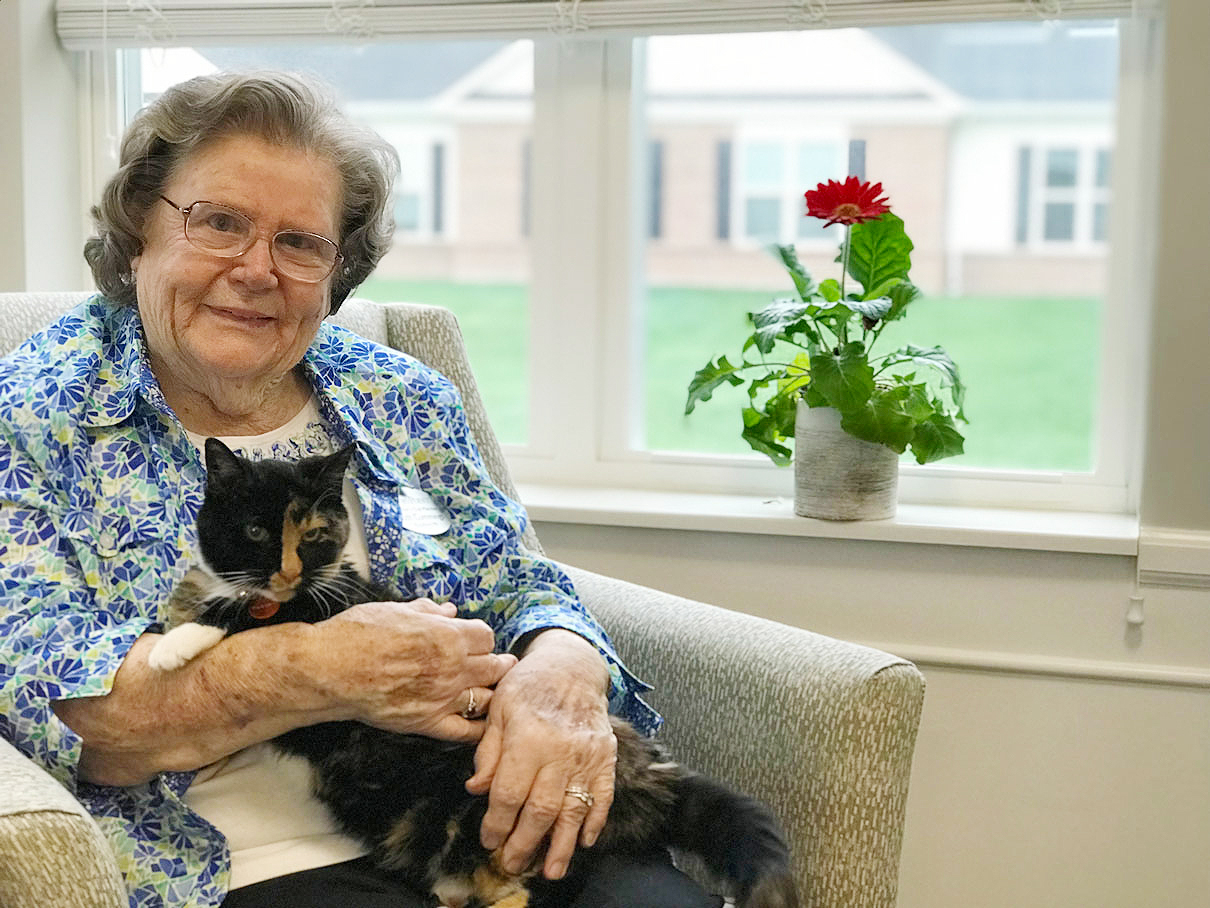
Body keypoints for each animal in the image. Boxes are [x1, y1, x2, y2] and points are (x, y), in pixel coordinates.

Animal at [146, 440, 798, 908]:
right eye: (255, 530)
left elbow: (247, 620)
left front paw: (172, 644)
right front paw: (174, 613)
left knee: (533, 885)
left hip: (495, 817)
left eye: (314, 535)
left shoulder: (325, 610)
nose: (286, 573)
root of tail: (648, 771)